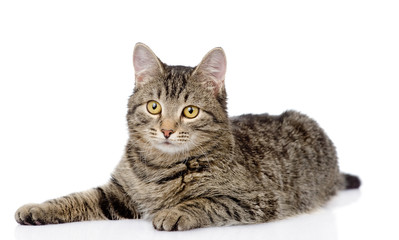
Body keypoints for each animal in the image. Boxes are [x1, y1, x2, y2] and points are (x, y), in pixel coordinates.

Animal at [15, 42, 360, 231]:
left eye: (190, 111)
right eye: (154, 106)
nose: (167, 129)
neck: (158, 166)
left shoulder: (258, 199)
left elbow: (208, 201)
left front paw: (175, 211)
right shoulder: (118, 193)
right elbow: (76, 197)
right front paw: (39, 208)